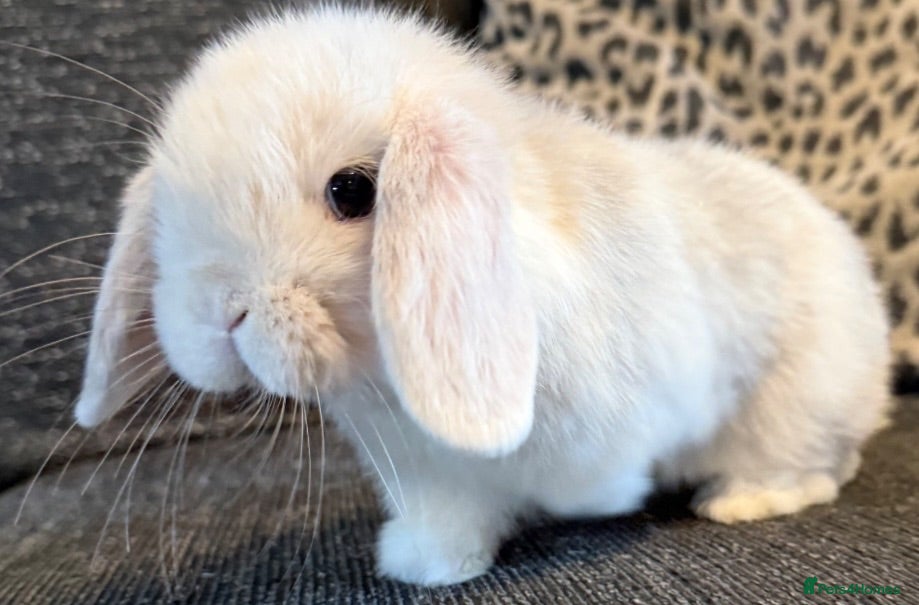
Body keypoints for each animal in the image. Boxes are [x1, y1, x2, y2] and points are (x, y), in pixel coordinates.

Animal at [72, 6, 891, 587]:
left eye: (352, 192)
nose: (222, 312)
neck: (385, 379)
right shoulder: (427, 474)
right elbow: (449, 521)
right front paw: (422, 566)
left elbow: (603, 475)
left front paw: (600, 503)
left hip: (791, 403)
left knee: (809, 463)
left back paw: (743, 498)